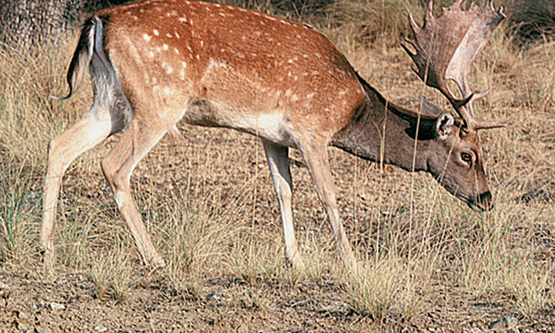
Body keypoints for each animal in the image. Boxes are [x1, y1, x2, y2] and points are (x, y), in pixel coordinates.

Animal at [40, 0, 512, 268]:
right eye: (468, 154)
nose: (487, 198)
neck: (353, 108)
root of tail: (99, 19)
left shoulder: (272, 136)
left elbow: (284, 190)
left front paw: (295, 258)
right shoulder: (311, 129)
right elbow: (327, 194)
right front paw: (352, 263)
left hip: (112, 101)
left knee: (59, 144)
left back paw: (46, 248)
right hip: (159, 100)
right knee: (112, 165)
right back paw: (153, 256)